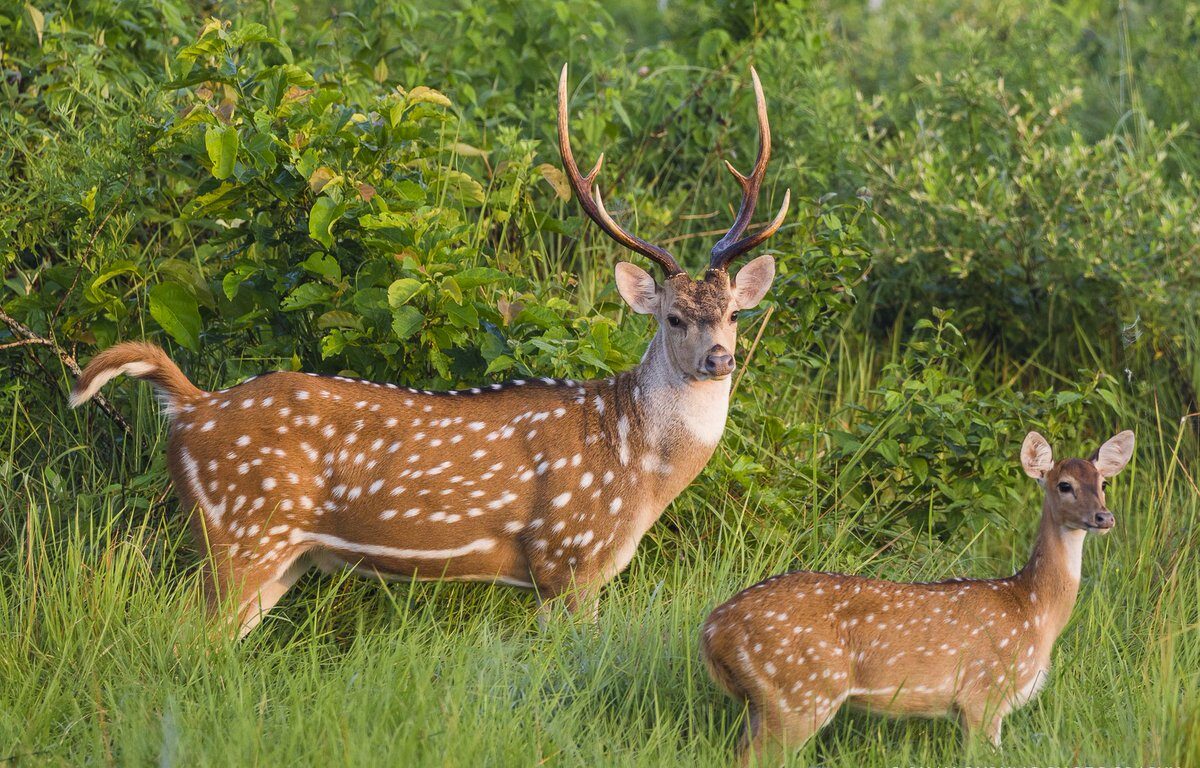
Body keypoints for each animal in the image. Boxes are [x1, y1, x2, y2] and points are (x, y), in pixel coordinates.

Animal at [70, 66, 792, 638]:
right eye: (673, 317)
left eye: (733, 313)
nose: (720, 359)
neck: (638, 467)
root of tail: (189, 408)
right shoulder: (567, 557)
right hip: (238, 533)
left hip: (279, 556)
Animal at [700, 432, 1132, 763]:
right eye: (1064, 485)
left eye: (1103, 484)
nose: (1104, 517)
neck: (1033, 610)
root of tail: (711, 630)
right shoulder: (983, 693)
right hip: (801, 691)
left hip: (765, 700)